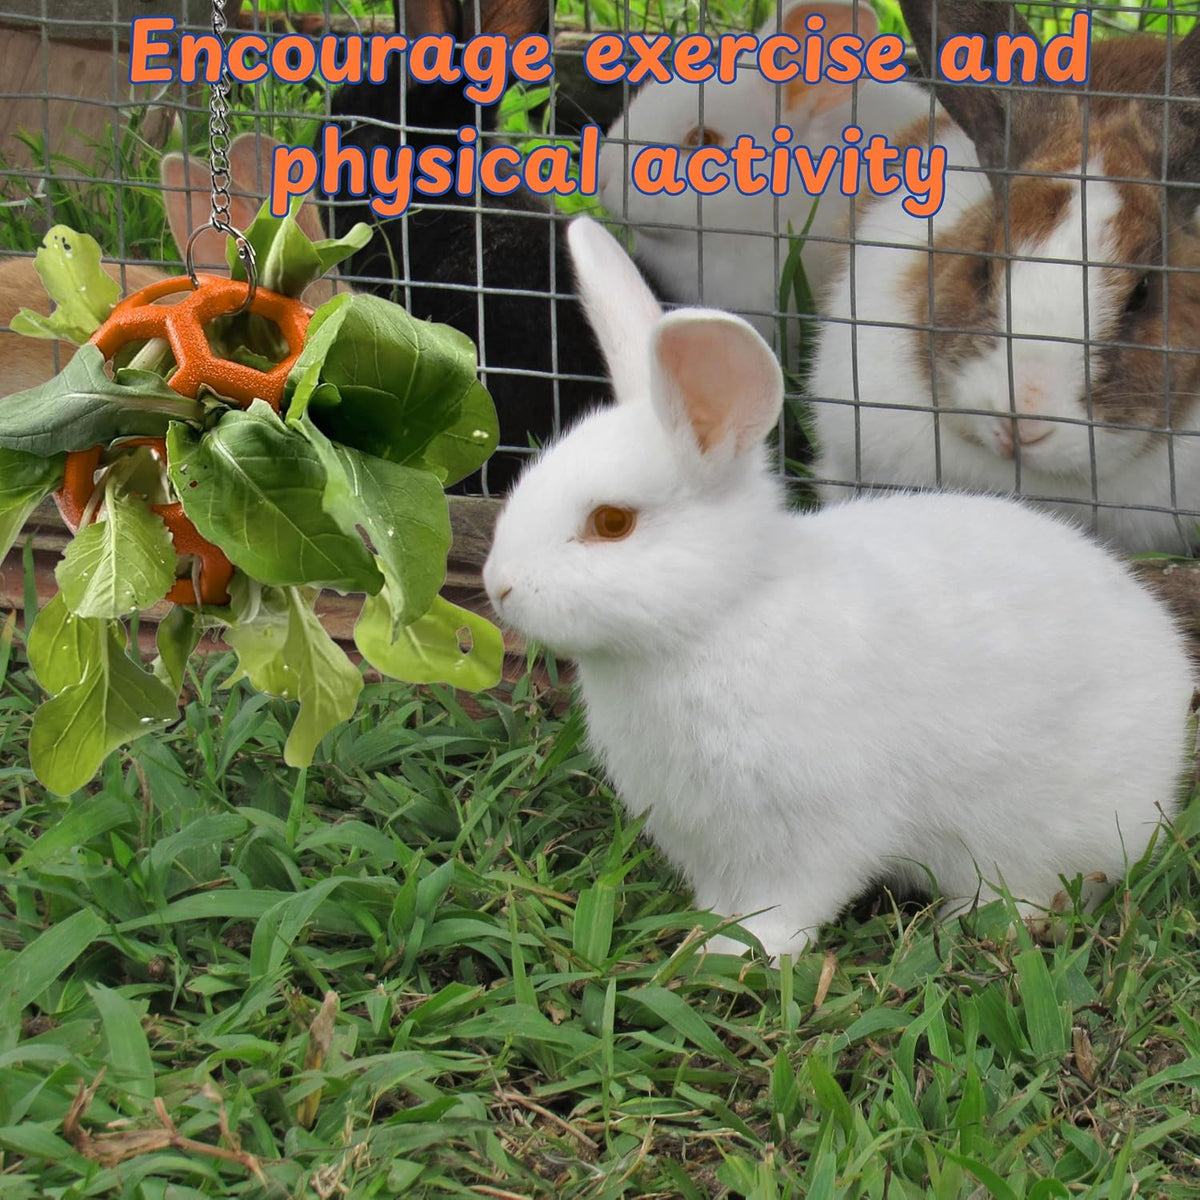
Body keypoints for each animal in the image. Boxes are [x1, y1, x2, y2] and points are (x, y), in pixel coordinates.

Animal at [482, 215, 1194, 962]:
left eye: (611, 523)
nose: (499, 586)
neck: (724, 614)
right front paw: (703, 935)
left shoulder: (813, 831)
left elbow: (790, 903)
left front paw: (737, 955)